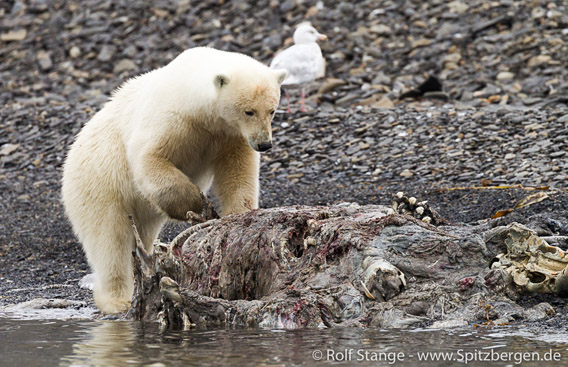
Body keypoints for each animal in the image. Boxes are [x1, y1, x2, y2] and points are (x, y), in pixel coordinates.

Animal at [61, 47, 286, 314]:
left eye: (272, 110)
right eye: (248, 111)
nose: (264, 143)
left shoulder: (229, 134)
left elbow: (237, 170)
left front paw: (238, 215)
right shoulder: (172, 118)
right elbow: (149, 157)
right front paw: (198, 205)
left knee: (141, 232)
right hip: (98, 184)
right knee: (110, 240)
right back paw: (118, 299)